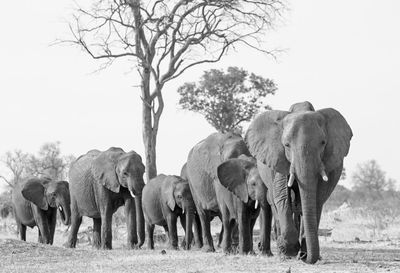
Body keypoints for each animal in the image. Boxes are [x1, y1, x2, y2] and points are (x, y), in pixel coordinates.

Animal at [244, 101, 354, 262]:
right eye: (286, 145)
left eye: (323, 143)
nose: (304, 258)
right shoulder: (279, 157)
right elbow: (282, 196)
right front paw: (288, 250)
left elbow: (315, 199)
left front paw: (302, 252)